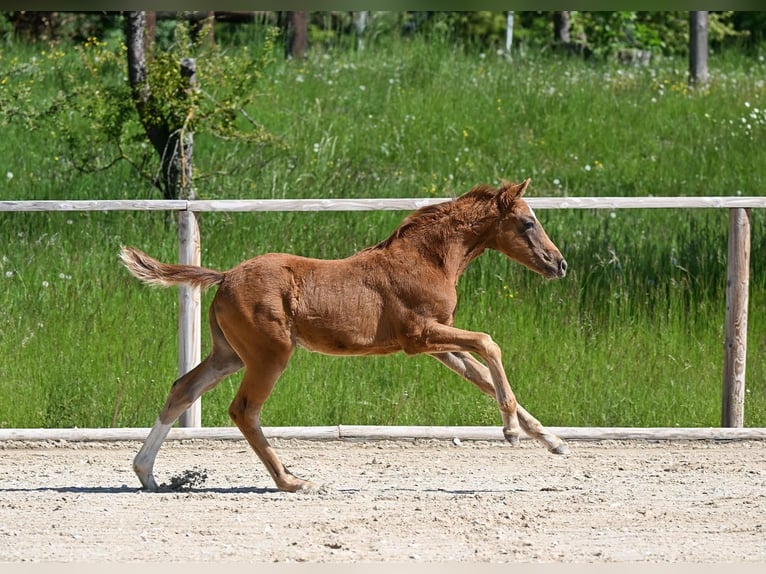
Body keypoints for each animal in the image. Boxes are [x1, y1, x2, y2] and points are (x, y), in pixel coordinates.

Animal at [120, 178, 569, 493]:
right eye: (528, 222)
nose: (559, 263)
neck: (428, 259)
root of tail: (225, 276)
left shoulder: (438, 347)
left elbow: (483, 375)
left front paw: (553, 440)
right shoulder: (421, 336)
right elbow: (489, 343)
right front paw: (511, 432)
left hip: (229, 354)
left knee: (183, 388)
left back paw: (146, 473)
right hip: (270, 354)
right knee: (244, 410)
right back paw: (291, 481)